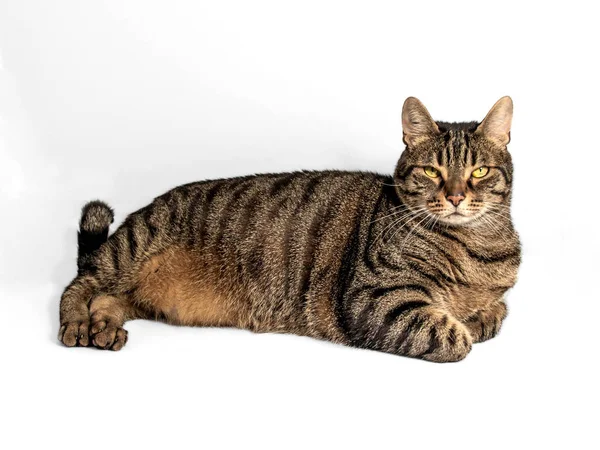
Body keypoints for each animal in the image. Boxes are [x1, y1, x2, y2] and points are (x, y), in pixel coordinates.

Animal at [59, 97, 520, 362]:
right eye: (431, 171)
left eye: (479, 171)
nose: (456, 196)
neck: (475, 248)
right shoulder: (371, 300)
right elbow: (453, 337)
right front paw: (464, 327)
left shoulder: (496, 297)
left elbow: (497, 312)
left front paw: (479, 316)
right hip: (131, 246)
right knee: (79, 285)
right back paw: (80, 325)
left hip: (137, 291)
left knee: (109, 298)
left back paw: (105, 328)